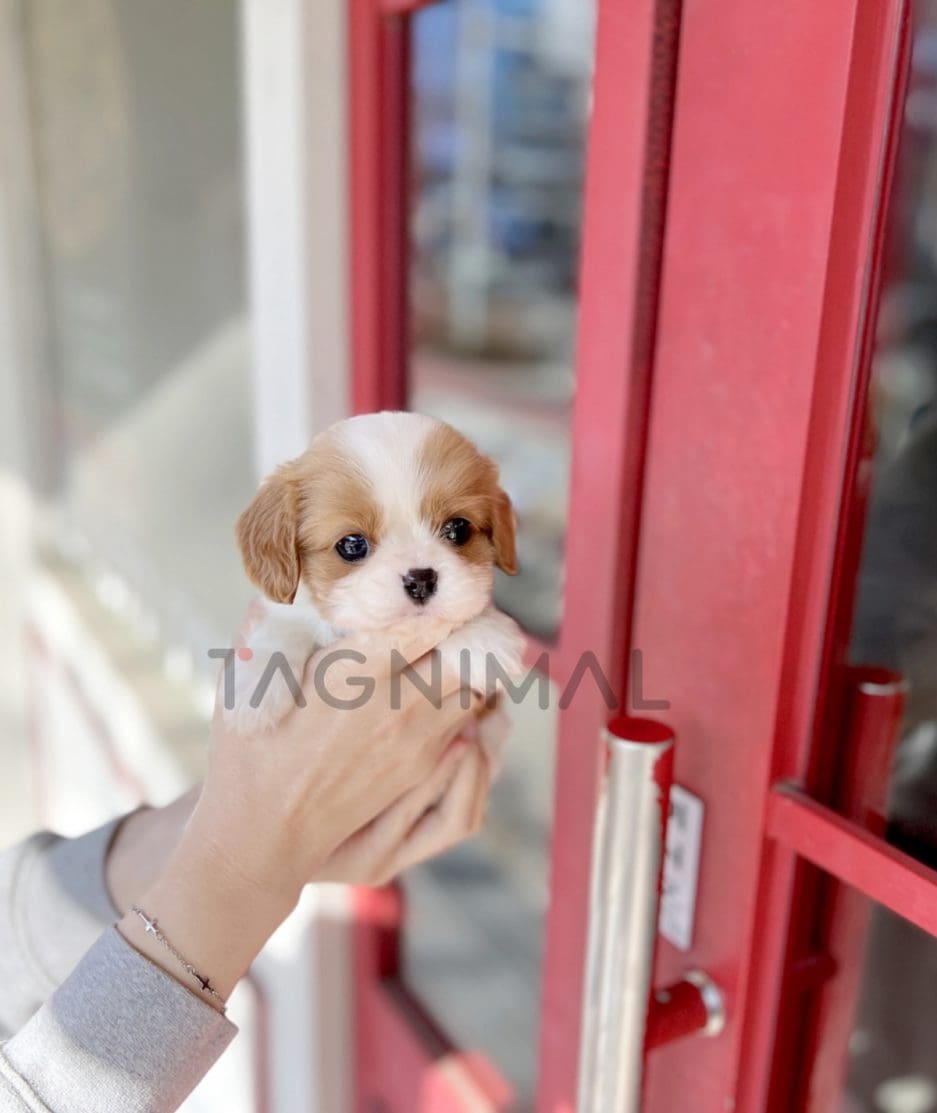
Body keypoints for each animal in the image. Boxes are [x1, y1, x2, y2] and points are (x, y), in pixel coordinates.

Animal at [229, 409, 525, 730]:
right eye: (352, 545)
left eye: (458, 529)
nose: (420, 580)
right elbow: (285, 625)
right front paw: (257, 681)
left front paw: (484, 636)